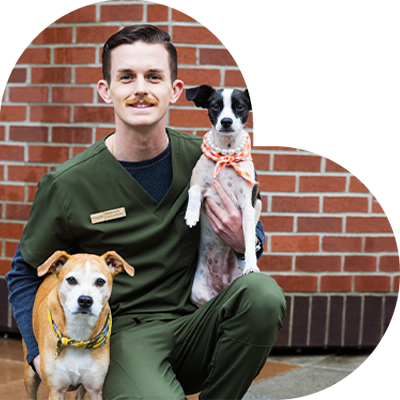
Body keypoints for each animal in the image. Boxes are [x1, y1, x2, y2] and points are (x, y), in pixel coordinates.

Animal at [23, 252, 134, 398]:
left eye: (100, 281)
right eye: (71, 279)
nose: (85, 300)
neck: (79, 336)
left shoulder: (95, 388)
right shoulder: (56, 389)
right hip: (30, 376)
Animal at [185, 85, 274, 306]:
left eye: (240, 107)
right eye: (215, 106)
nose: (226, 121)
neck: (226, 155)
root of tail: (222, 288)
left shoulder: (248, 207)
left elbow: (249, 240)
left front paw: (251, 264)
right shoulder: (199, 184)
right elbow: (194, 190)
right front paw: (191, 215)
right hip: (198, 293)